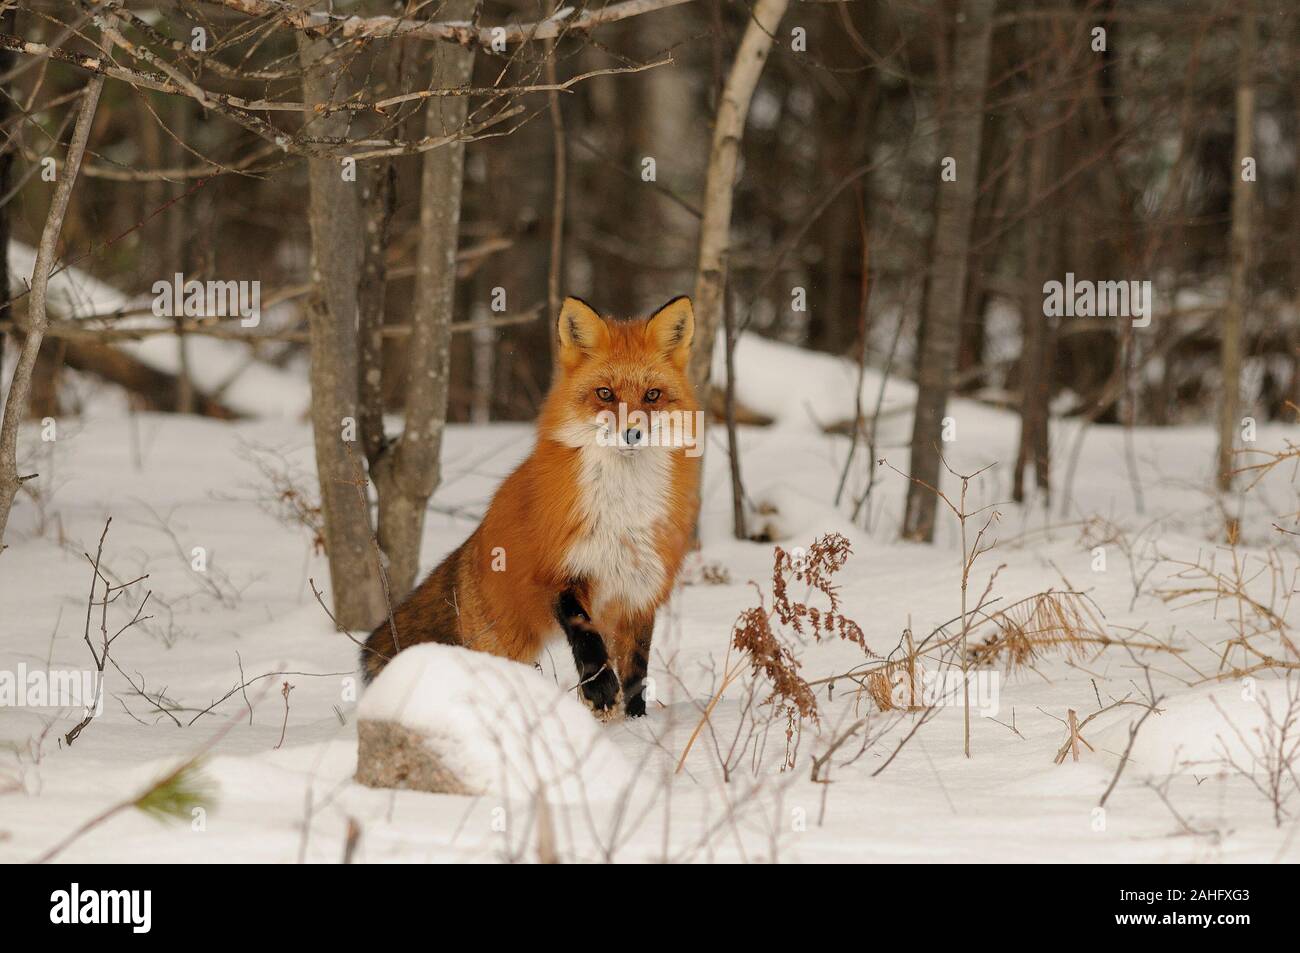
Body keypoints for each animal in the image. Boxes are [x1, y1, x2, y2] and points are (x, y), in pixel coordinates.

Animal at [360, 295, 701, 719]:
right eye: (605, 393)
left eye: (652, 395)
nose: (632, 433)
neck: (622, 507)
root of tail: (472, 545)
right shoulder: (558, 571)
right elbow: (585, 636)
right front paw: (600, 688)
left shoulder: (639, 591)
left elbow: (637, 668)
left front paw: (637, 722)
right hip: (502, 647)